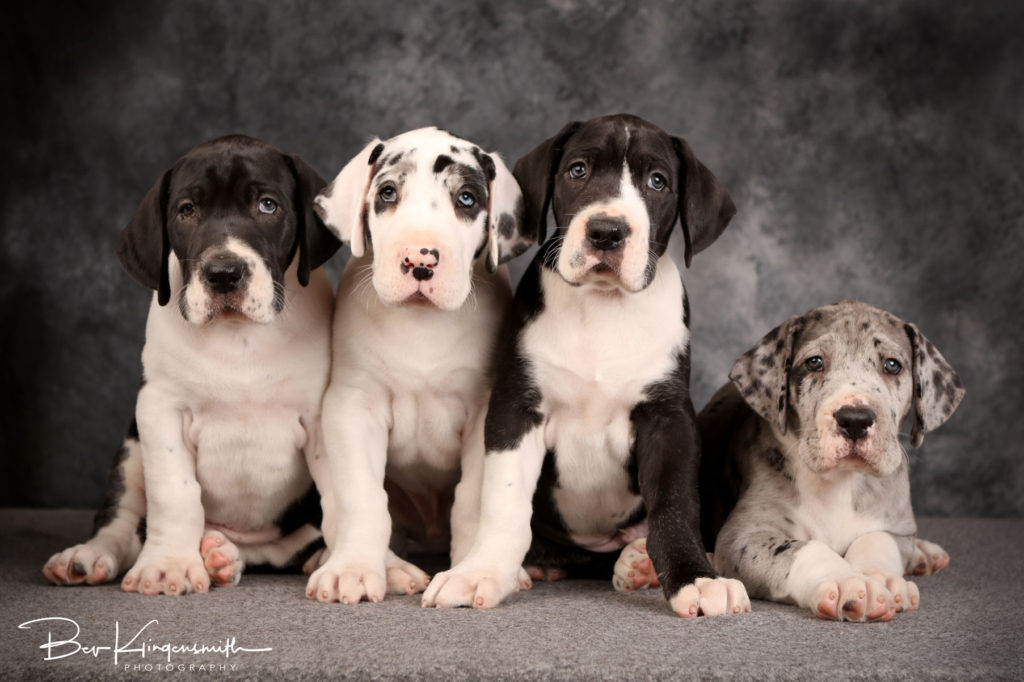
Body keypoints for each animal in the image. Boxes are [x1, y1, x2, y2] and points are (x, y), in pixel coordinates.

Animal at [41, 135, 337, 593]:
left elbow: (346, 495)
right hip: (130, 452)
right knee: (122, 524)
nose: (224, 273)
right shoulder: (159, 409)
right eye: (186, 210)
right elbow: (175, 493)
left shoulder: (324, 414)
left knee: (278, 549)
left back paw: (226, 557)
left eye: (267, 205)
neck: (240, 338)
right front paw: (169, 566)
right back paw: (88, 557)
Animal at [303, 125, 532, 602]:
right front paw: (353, 568)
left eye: (467, 198)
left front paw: (469, 569)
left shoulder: (485, 415)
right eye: (387, 192)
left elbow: (471, 501)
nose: (420, 260)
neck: (422, 326)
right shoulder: (353, 408)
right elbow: (363, 498)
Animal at [423, 112, 753, 614]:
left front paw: (696, 578)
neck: (603, 306)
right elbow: (504, 503)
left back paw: (640, 563)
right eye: (577, 170)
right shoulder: (516, 410)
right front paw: (480, 572)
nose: (606, 232)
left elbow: (675, 505)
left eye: (657, 181)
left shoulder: (669, 419)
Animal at [700, 301, 962, 618]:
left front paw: (881, 578)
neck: (840, 481)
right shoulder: (744, 535)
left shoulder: (896, 528)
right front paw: (847, 581)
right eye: (814, 362)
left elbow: (877, 539)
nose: (855, 420)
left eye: (892, 365)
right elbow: (807, 549)